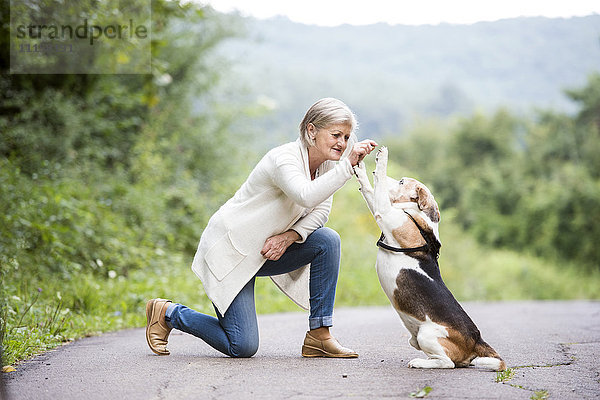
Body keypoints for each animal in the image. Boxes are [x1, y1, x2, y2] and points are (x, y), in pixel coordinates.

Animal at [354, 147, 504, 372]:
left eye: (401, 181)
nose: (371, 170)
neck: (419, 220)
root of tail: (476, 340)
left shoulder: (387, 213)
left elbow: (378, 190)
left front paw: (381, 160)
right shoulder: (385, 212)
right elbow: (370, 191)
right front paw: (361, 169)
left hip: (427, 335)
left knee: (448, 363)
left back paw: (419, 363)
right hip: (418, 338)